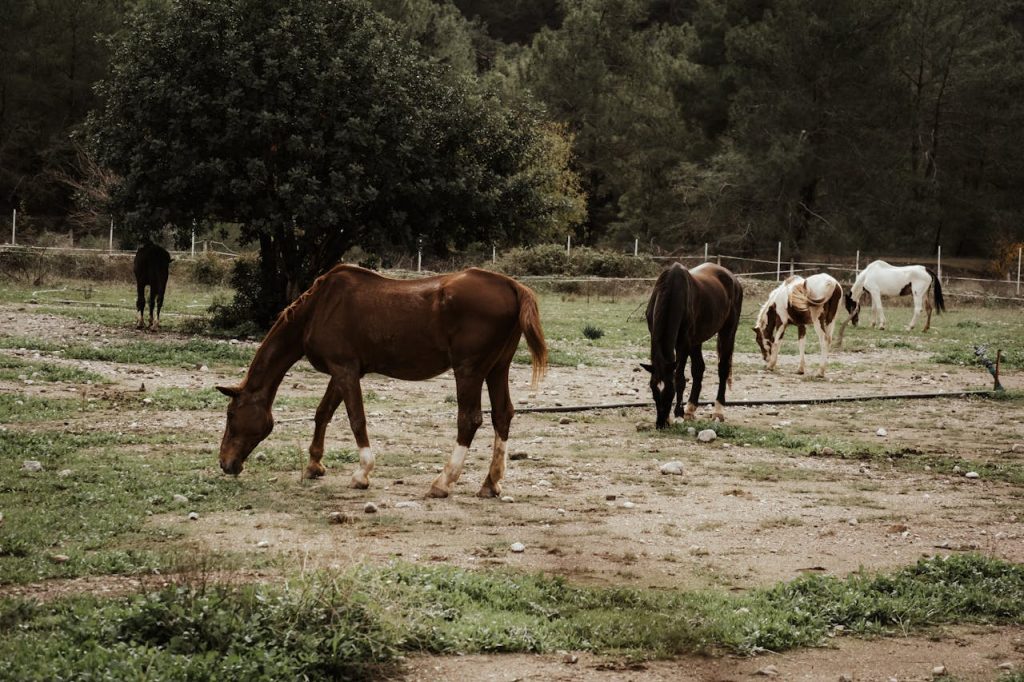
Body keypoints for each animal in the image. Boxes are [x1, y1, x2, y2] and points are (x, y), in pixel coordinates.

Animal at [216, 265, 547, 499]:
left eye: (231, 414)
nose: (225, 463)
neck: (319, 308)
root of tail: (512, 286)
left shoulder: (345, 370)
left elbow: (356, 419)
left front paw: (362, 473)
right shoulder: (343, 372)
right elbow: (323, 413)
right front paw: (314, 465)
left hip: (468, 371)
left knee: (469, 420)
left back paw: (442, 482)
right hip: (497, 369)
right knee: (502, 415)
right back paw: (490, 482)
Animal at [641, 262, 743, 428]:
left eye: (670, 392)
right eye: (653, 390)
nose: (661, 423)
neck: (673, 290)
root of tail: (733, 279)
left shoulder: (683, 343)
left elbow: (679, 378)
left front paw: (677, 414)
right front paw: (676, 415)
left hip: (728, 331)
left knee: (723, 369)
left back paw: (718, 411)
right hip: (696, 340)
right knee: (699, 369)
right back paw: (690, 409)